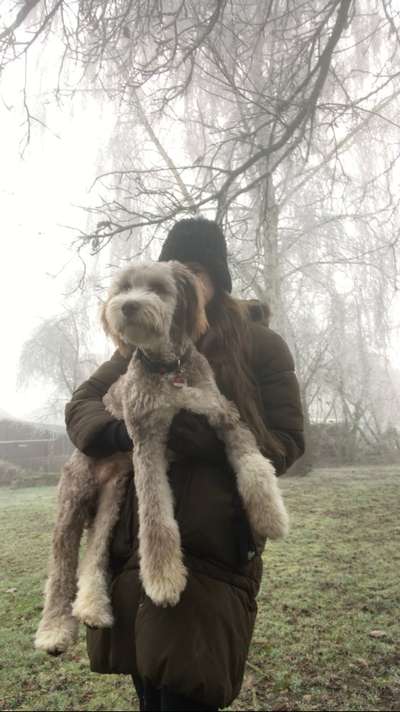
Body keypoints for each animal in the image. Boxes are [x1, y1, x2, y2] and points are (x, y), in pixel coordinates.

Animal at [34, 258, 288, 652]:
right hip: (73, 499)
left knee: (94, 554)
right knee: (60, 567)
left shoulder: (221, 413)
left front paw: (269, 515)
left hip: (112, 500)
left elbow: (254, 462)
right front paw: (164, 580)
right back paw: (54, 631)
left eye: (156, 288)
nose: (127, 306)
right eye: (123, 288)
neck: (171, 369)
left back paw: (93, 609)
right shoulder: (147, 440)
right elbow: (156, 519)